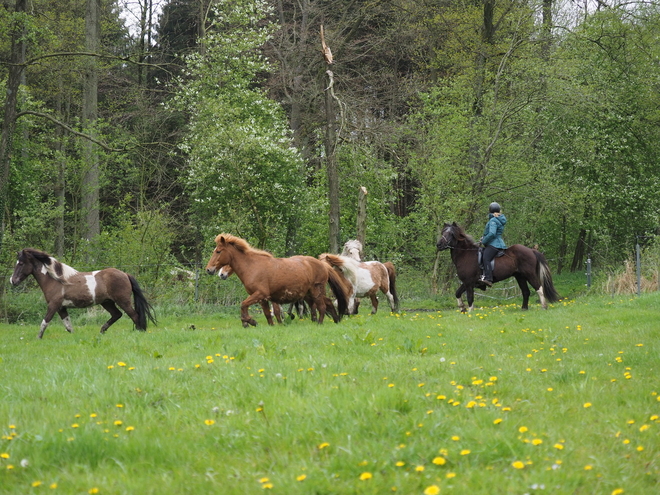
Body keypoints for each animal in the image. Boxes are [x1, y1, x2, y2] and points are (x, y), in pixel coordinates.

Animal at [10, 250, 156, 340]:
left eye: (21, 263)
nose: (13, 281)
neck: (55, 280)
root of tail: (125, 274)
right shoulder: (61, 308)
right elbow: (68, 326)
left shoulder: (53, 305)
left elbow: (44, 322)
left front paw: (38, 338)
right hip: (107, 302)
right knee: (117, 314)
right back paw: (102, 331)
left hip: (123, 301)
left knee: (135, 316)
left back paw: (139, 332)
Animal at [205, 234, 350, 328]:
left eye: (218, 251)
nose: (209, 270)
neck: (252, 267)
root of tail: (323, 265)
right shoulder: (263, 298)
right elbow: (268, 314)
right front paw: (269, 325)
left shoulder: (260, 294)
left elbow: (243, 304)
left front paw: (249, 321)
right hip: (310, 294)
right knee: (329, 303)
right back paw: (336, 320)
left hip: (316, 291)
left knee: (322, 307)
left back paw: (320, 324)